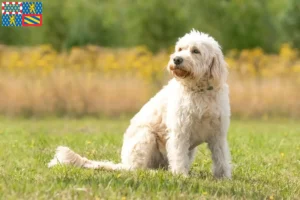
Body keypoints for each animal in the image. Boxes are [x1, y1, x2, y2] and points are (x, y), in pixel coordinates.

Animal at [48, 29, 232, 178]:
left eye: (195, 51)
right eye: (180, 49)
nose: (176, 59)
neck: (199, 91)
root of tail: (123, 163)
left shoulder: (218, 134)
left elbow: (221, 158)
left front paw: (224, 178)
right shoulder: (179, 132)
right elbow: (179, 157)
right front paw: (181, 176)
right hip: (146, 136)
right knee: (137, 169)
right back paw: (153, 172)